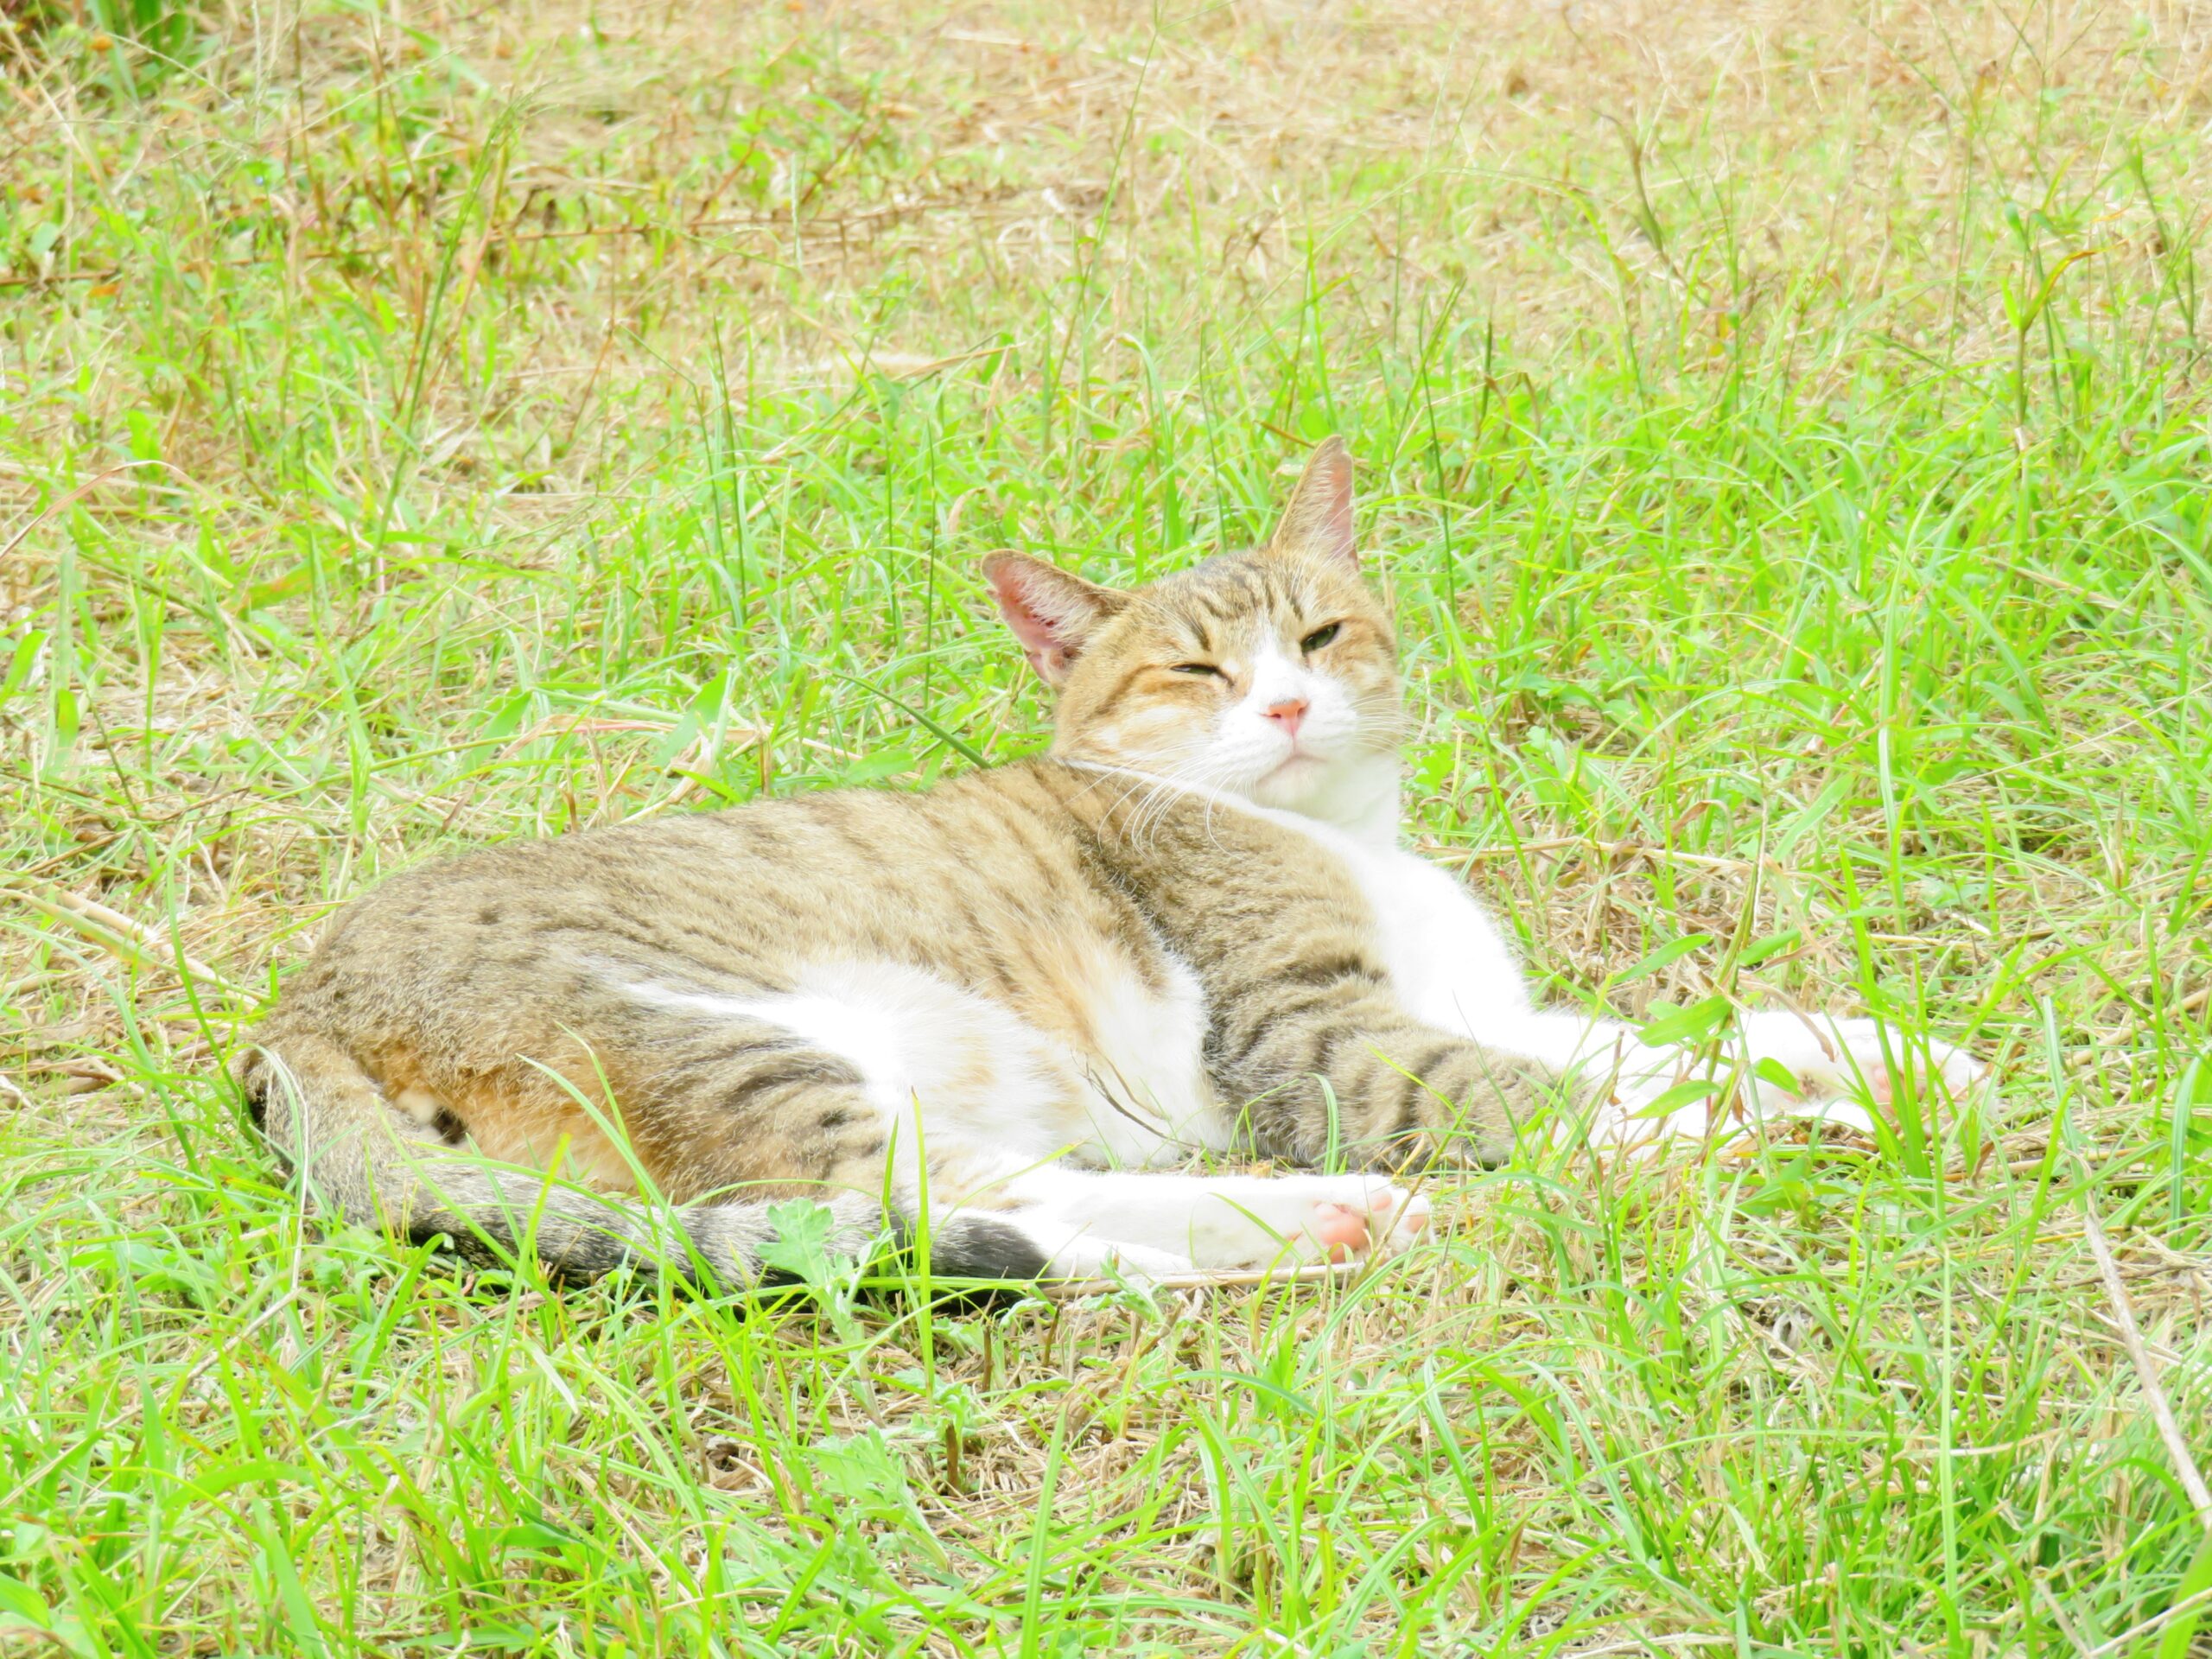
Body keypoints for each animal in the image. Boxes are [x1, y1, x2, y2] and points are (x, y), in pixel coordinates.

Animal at [242, 437, 1991, 1282]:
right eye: (1193, 674)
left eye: (1320, 634)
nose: (1283, 700)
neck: (1343, 833)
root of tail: (289, 1013)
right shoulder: (1325, 1045)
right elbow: (1581, 1094)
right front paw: (1782, 1126)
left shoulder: (1466, 1005)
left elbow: (1672, 1032)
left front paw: (1879, 1056)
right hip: (729, 1037)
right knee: (924, 1218)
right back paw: (1307, 1221)